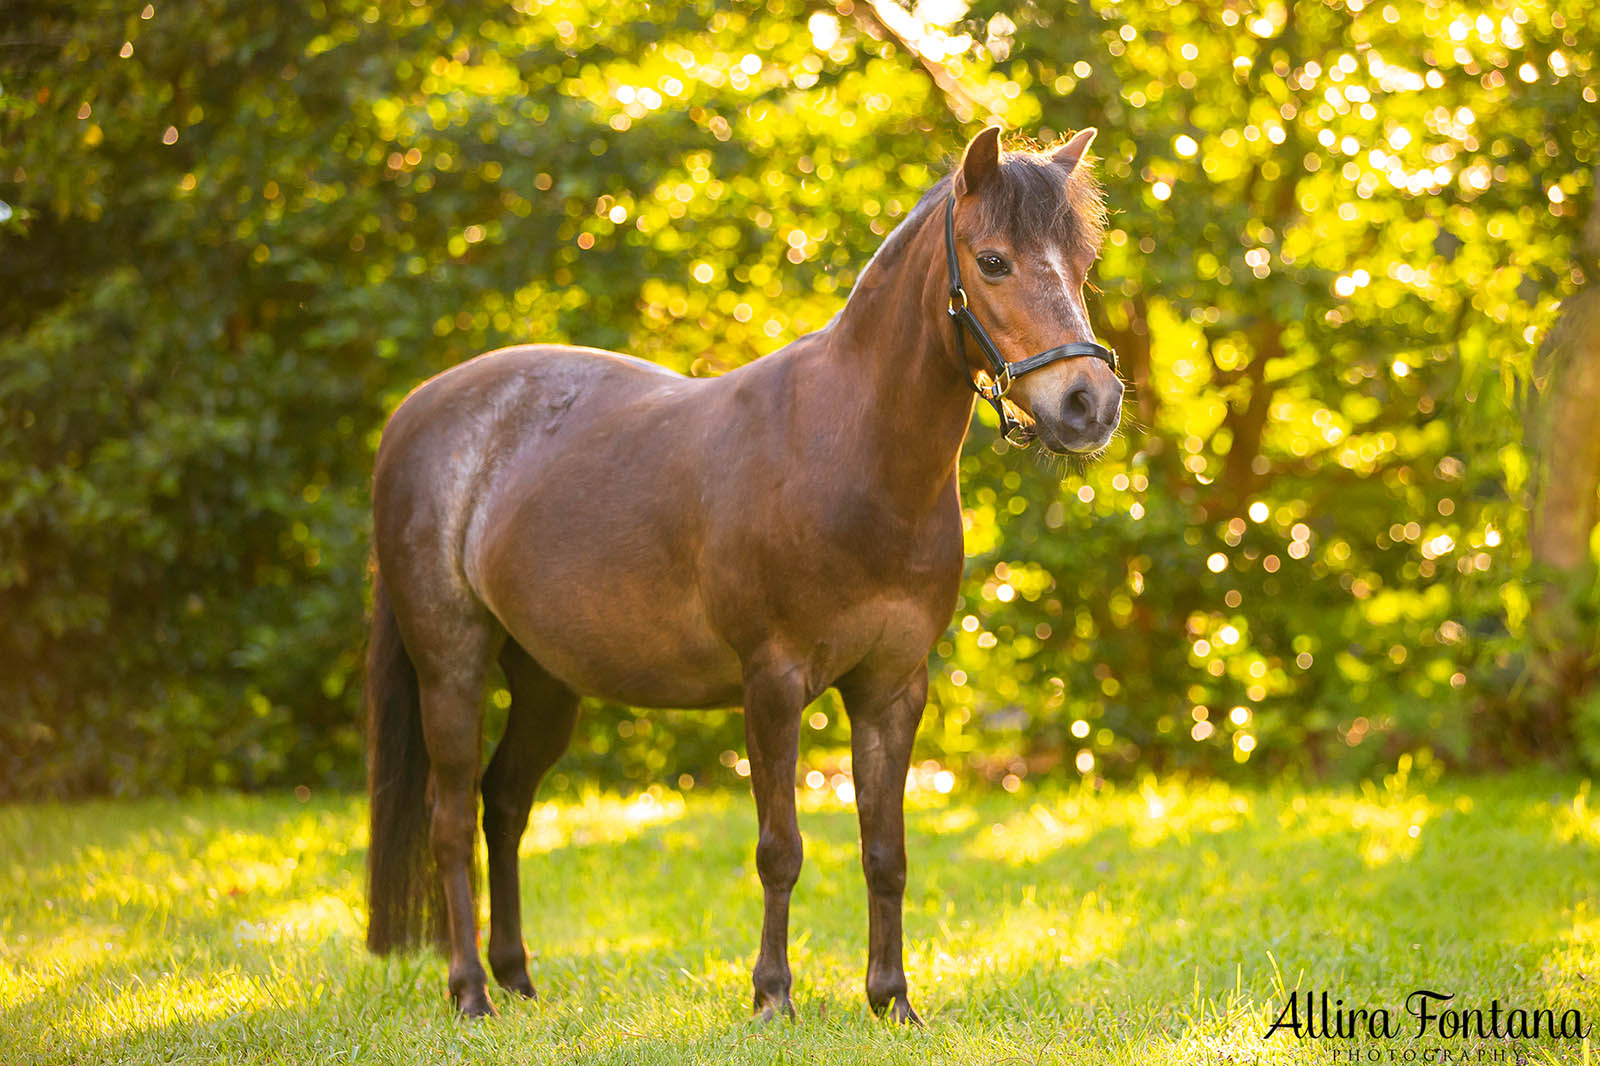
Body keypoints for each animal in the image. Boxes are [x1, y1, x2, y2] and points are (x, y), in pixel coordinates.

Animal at [364, 128, 1120, 1017]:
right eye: (994, 261)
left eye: (1082, 261)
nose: (1089, 404)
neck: (852, 453)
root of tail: (418, 413)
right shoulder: (773, 684)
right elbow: (779, 848)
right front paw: (773, 997)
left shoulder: (893, 689)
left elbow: (885, 851)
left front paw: (892, 1001)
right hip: (451, 666)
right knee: (450, 820)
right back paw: (471, 993)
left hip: (547, 683)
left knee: (505, 805)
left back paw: (517, 978)